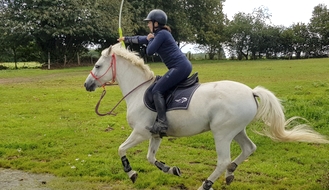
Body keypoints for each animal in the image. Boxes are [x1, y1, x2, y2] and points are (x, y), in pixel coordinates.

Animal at [84, 43, 328, 190]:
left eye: (97, 65)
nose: (87, 85)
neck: (139, 90)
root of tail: (251, 91)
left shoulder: (141, 133)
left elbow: (121, 149)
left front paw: (131, 173)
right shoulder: (155, 135)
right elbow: (151, 158)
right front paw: (171, 169)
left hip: (222, 134)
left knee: (223, 161)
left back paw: (206, 184)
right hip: (237, 131)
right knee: (249, 149)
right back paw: (230, 174)